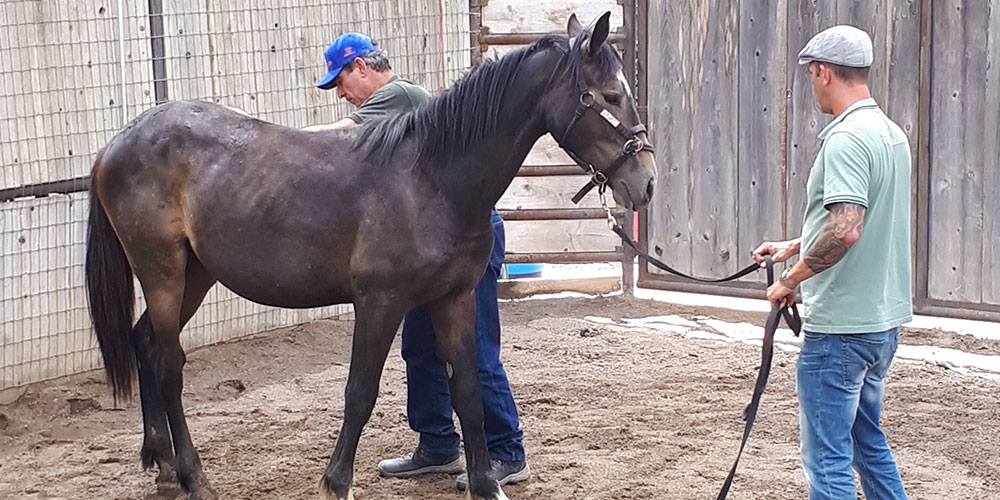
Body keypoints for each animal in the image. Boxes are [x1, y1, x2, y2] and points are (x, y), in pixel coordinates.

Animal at [86, 11, 656, 500]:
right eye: (609, 94)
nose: (646, 182)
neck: (432, 179)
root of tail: (118, 141)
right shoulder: (379, 303)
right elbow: (360, 392)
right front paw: (336, 483)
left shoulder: (454, 299)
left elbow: (469, 393)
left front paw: (485, 483)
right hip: (162, 271)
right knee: (169, 365)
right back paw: (192, 476)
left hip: (194, 274)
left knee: (146, 344)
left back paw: (163, 468)